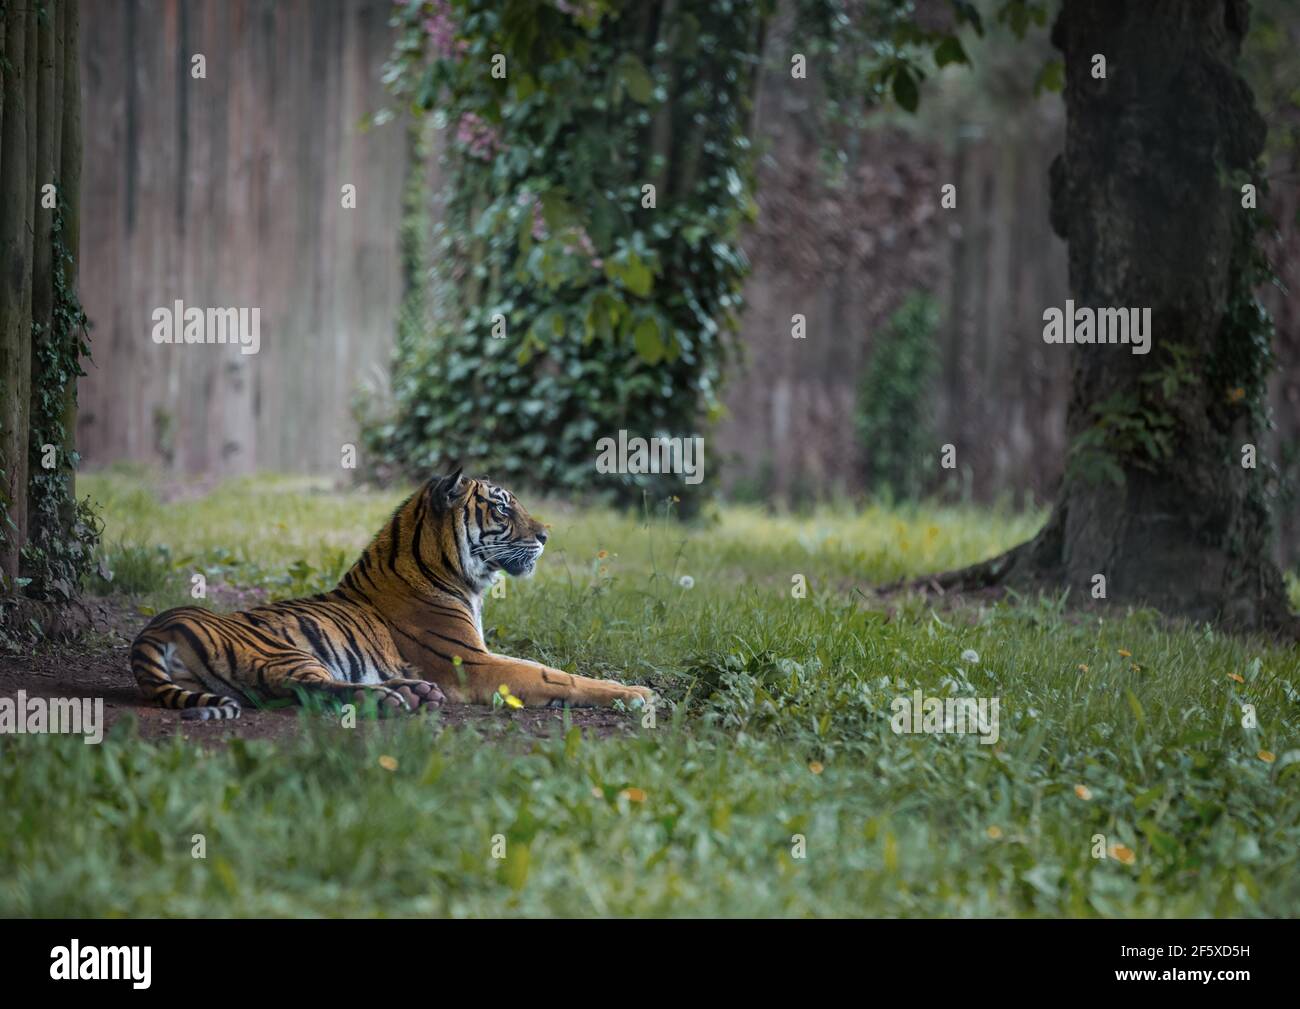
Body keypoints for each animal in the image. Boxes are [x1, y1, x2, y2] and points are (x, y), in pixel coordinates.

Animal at [130, 470, 655, 717]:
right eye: (503, 509)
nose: (547, 535)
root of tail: (156, 630)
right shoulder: (471, 663)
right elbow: (555, 676)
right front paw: (638, 694)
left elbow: (549, 670)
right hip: (283, 651)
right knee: (307, 688)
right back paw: (395, 699)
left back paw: (412, 692)